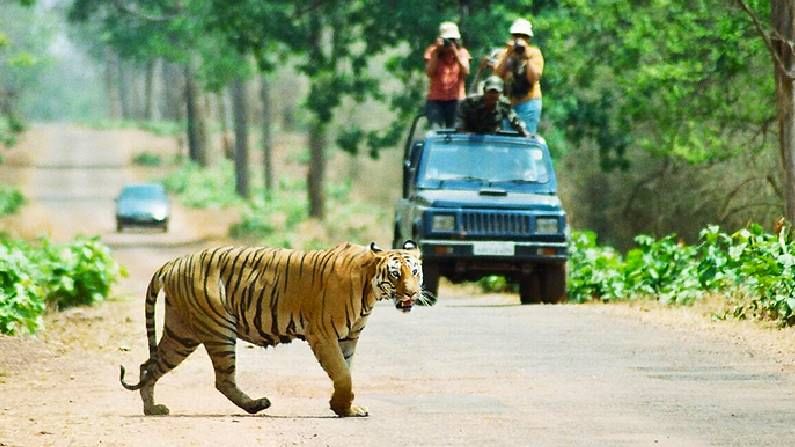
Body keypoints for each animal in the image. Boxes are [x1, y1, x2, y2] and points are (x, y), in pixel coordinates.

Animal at [116, 240, 436, 418]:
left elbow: (346, 373)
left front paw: (344, 408)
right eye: (395, 274)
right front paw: (342, 407)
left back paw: (152, 409)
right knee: (222, 380)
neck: (370, 289)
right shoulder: (323, 334)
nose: (411, 293)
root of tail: (174, 262)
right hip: (217, 330)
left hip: (181, 333)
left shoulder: (348, 337)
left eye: (414, 272)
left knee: (149, 365)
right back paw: (257, 405)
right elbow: (343, 375)